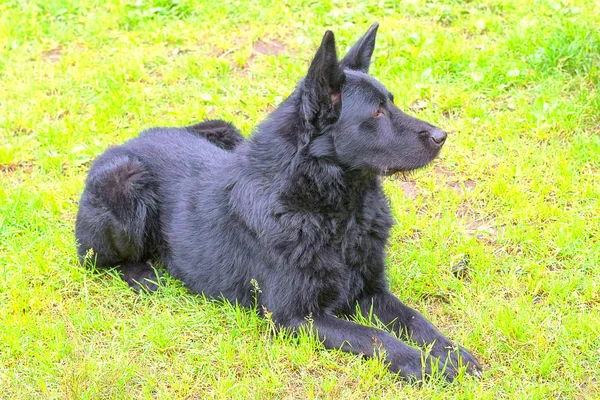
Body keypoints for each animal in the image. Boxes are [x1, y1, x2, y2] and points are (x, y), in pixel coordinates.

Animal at [76, 24, 482, 382]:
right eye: (377, 112)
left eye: (391, 104)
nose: (442, 136)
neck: (331, 212)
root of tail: (128, 143)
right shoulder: (296, 317)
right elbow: (377, 337)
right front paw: (426, 365)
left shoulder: (370, 291)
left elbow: (414, 319)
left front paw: (450, 353)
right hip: (128, 185)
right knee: (96, 260)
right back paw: (147, 276)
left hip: (225, 130)